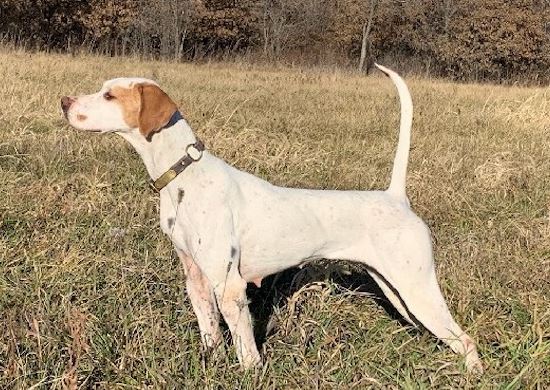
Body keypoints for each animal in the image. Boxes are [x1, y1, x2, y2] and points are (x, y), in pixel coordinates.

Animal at [60, 65, 484, 374]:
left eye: (110, 95)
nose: (64, 101)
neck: (183, 176)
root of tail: (396, 197)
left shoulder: (230, 286)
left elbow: (246, 349)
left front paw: (249, 373)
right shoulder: (197, 280)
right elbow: (210, 335)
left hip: (417, 288)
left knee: (466, 340)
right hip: (397, 290)